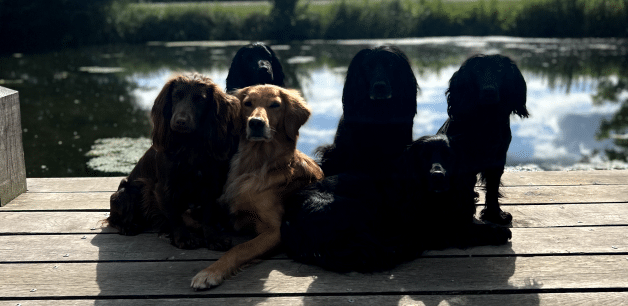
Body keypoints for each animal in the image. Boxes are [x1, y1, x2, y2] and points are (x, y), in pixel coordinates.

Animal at [106, 73, 239, 250]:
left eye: (200, 99)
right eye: (176, 96)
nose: (180, 122)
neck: (189, 144)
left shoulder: (209, 184)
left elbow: (208, 214)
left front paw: (213, 237)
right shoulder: (163, 187)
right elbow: (174, 215)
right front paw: (183, 237)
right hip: (124, 194)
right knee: (113, 218)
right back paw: (129, 226)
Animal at [189, 85, 322, 290]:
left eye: (275, 105)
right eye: (248, 103)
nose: (256, 123)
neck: (256, 165)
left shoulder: (276, 231)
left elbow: (240, 248)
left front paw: (210, 272)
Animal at [280, 134, 510, 272]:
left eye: (449, 156)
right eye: (424, 156)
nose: (438, 176)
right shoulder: (429, 226)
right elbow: (463, 229)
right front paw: (497, 231)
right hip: (356, 210)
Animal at [436, 53, 528, 225]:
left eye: (500, 69)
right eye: (477, 70)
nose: (489, 92)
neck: (486, 119)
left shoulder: (497, 161)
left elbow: (492, 190)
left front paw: (495, 215)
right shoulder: (464, 164)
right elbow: (463, 191)